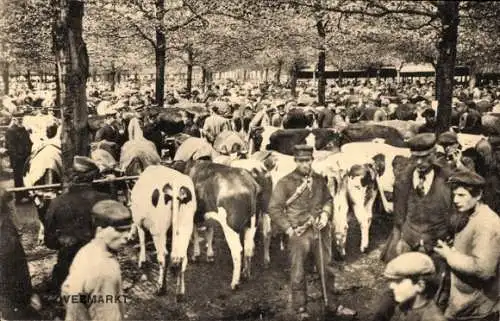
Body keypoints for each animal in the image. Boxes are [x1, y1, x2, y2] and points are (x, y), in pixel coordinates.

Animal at [129, 165, 195, 298]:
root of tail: (176, 184)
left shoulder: (139, 221)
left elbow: (142, 239)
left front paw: (142, 261)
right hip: (185, 226)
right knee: (182, 258)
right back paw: (180, 293)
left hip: (158, 230)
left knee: (163, 256)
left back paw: (161, 287)